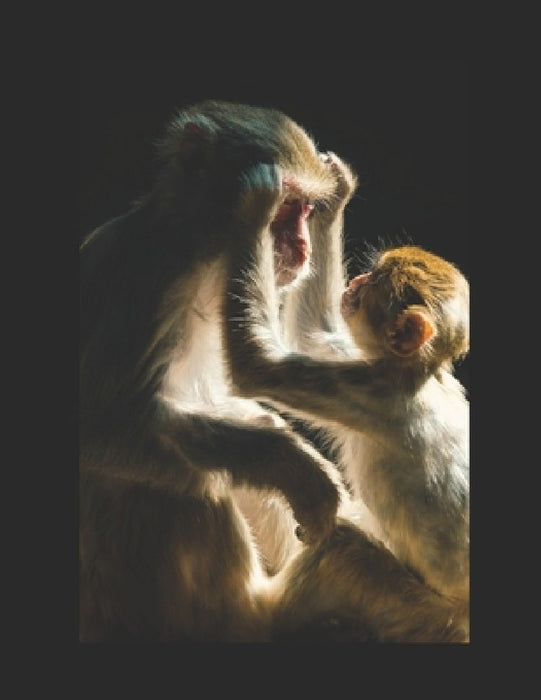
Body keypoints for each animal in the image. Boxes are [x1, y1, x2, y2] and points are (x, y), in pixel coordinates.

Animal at [80, 100, 467, 642]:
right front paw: (291, 464)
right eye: (288, 208)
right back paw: (263, 613)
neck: (200, 254)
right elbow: (103, 428)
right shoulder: (148, 279)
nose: (301, 245)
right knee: (186, 476)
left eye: (303, 209)